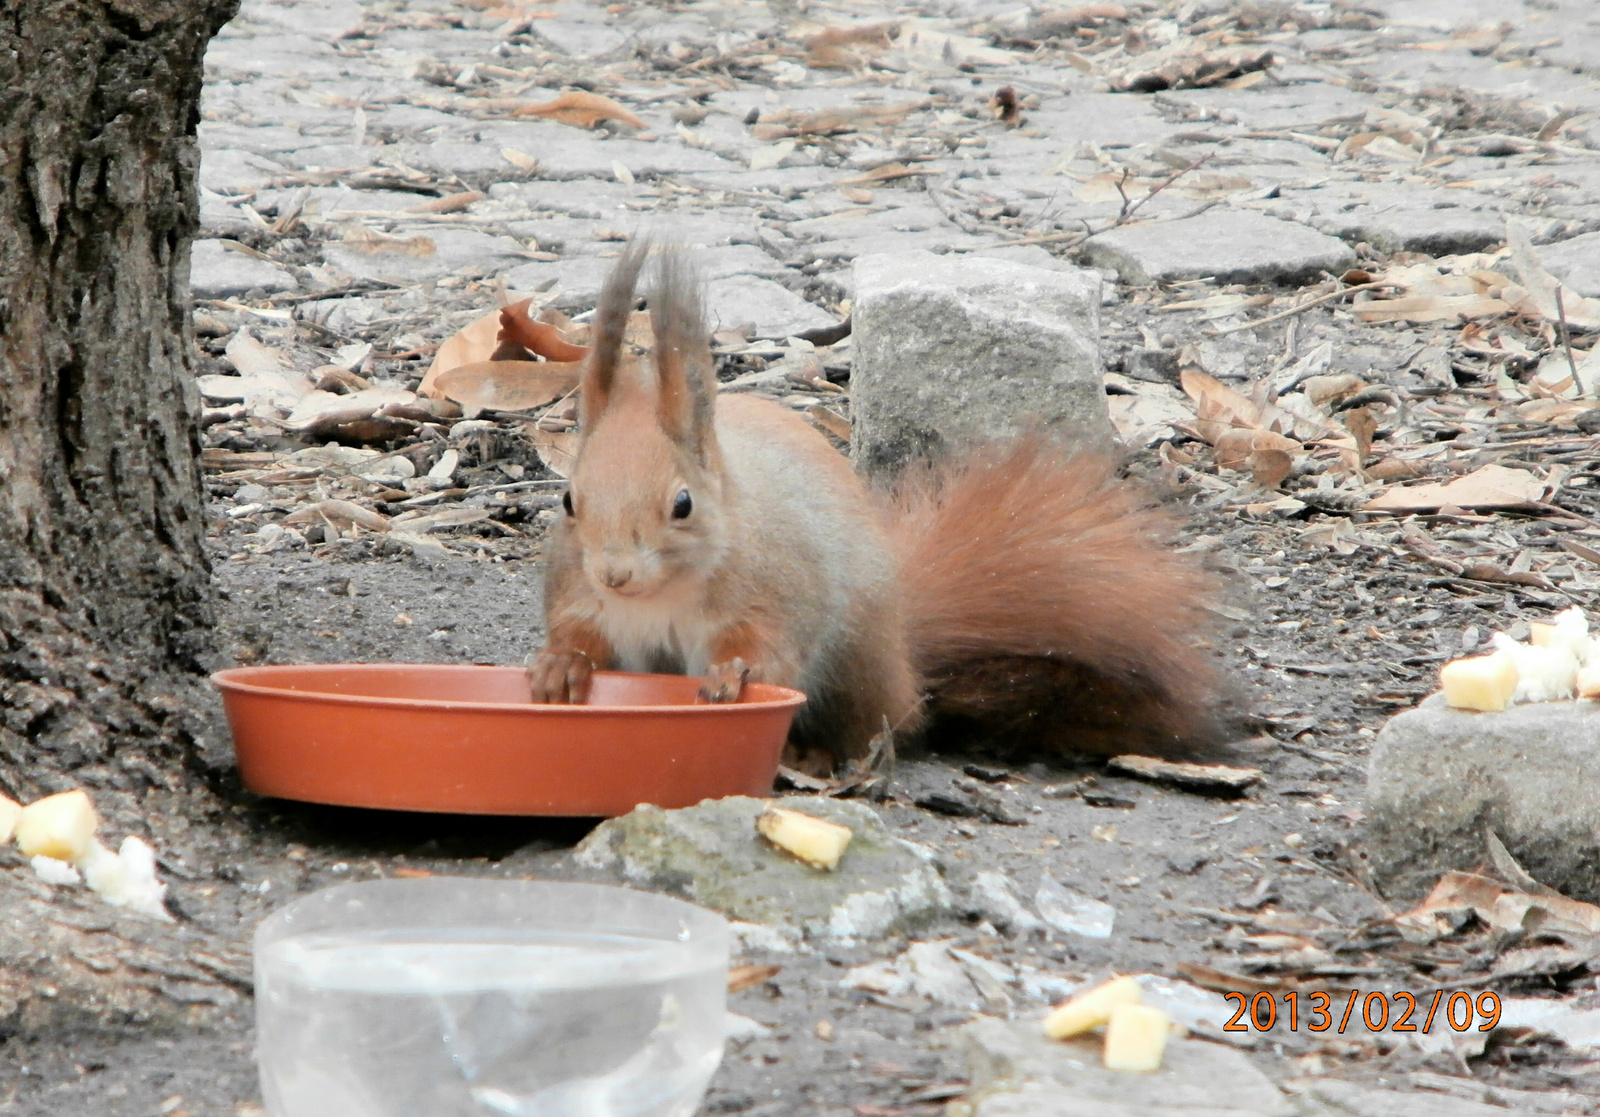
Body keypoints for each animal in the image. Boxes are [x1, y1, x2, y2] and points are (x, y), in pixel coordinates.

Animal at [528, 241, 1222, 764]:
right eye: (568, 499)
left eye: (682, 504)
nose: (615, 574)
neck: (661, 597)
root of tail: (902, 652)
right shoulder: (582, 597)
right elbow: (580, 637)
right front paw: (558, 667)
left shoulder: (770, 594)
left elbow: (767, 653)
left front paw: (733, 677)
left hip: (854, 665)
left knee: (880, 725)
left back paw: (825, 758)